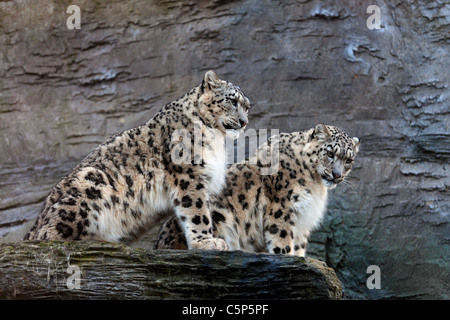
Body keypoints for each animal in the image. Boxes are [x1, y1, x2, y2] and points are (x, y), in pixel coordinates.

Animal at [23, 71, 253, 251]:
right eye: (232, 101)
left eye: (247, 106)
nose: (244, 122)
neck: (217, 139)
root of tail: (34, 225)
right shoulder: (190, 176)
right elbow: (197, 212)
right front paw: (206, 242)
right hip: (90, 183)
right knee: (47, 238)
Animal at [156, 124, 360, 256]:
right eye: (330, 153)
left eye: (348, 160)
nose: (336, 174)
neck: (316, 184)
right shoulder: (283, 207)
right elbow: (282, 238)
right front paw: (286, 256)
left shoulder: (303, 219)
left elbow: (299, 246)